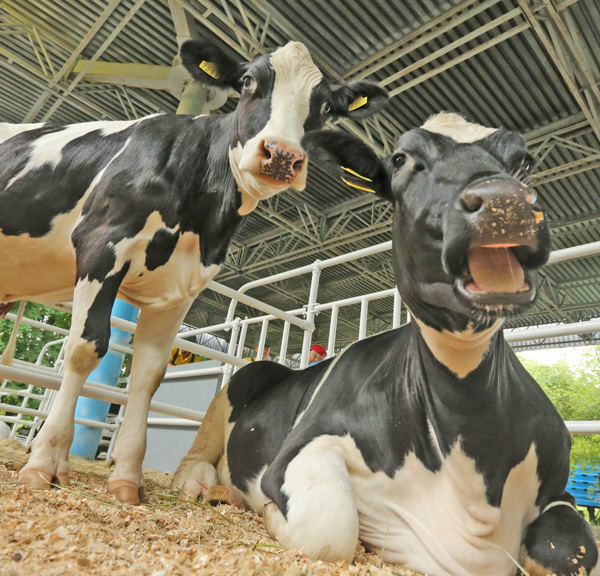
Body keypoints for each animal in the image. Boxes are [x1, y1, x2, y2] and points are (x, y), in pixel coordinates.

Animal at [0, 39, 390, 504]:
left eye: (327, 106)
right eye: (247, 81)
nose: (281, 155)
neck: (200, 211)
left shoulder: (180, 288)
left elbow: (148, 377)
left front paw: (126, 478)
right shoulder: (100, 245)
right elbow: (84, 347)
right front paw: (45, 461)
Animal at [173, 113, 600, 576]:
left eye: (524, 161)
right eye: (400, 159)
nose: (504, 202)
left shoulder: (561, 488)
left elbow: (569, 551)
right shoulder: (304, 445)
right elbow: (329, 530)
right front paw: (267, 510)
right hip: (237, 386)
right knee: (199, 451)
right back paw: (202, 485)